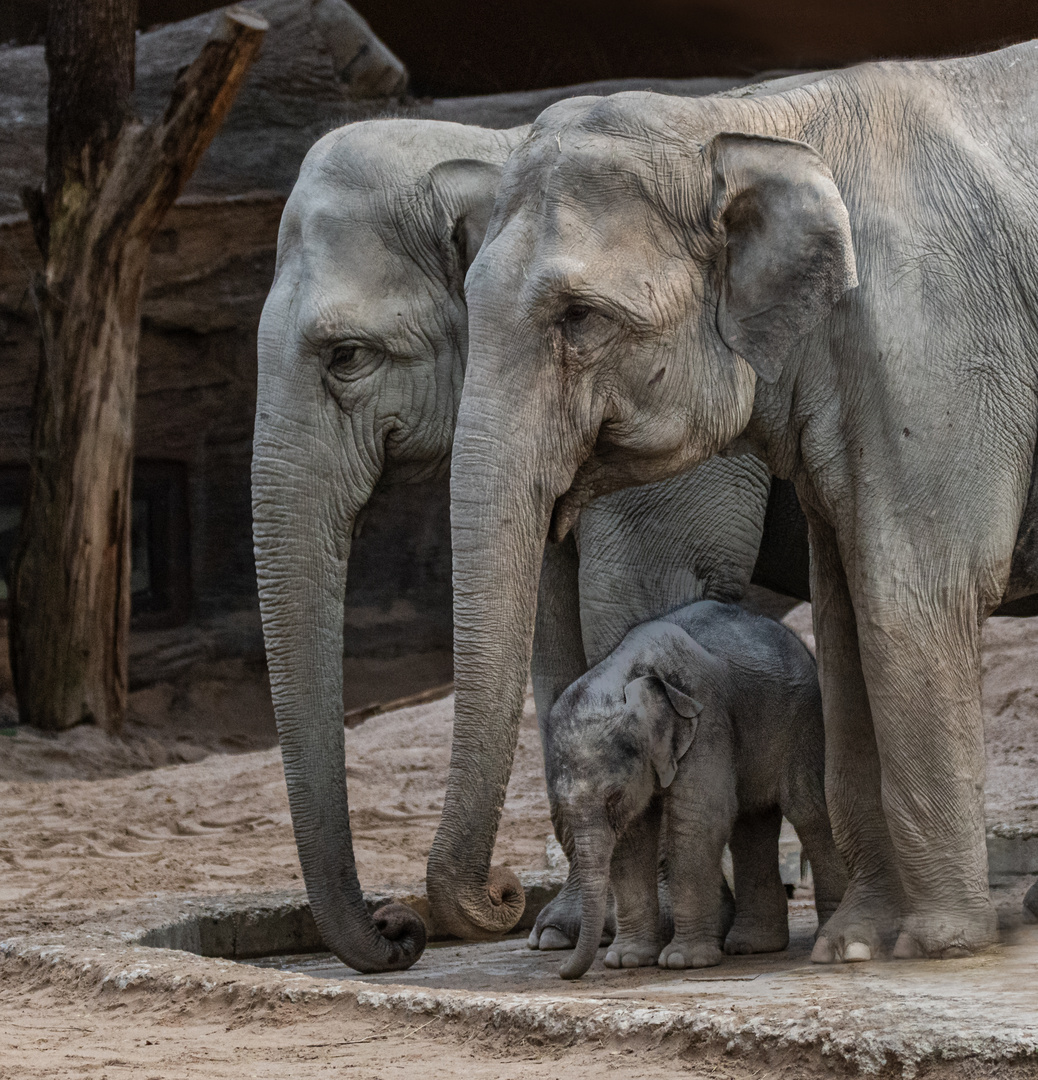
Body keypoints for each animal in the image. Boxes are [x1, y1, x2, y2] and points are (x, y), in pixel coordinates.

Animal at [254, 113, 807, 976]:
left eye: (347, 355)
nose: (397, 927)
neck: (498, 139)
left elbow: (638, 597)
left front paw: (660, 928)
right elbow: (553, 633)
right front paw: (566, 930)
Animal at [546, 600, 846, 980]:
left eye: (613, 796)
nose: (561, 970)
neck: (625, 673)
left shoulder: (706, 718)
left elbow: (700, 818)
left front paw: (681, 962)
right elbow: (632, 837)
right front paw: (627, 960)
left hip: (803, 720)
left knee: (808, 811)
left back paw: (821, 938)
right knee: (752, 823)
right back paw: (751, 946)